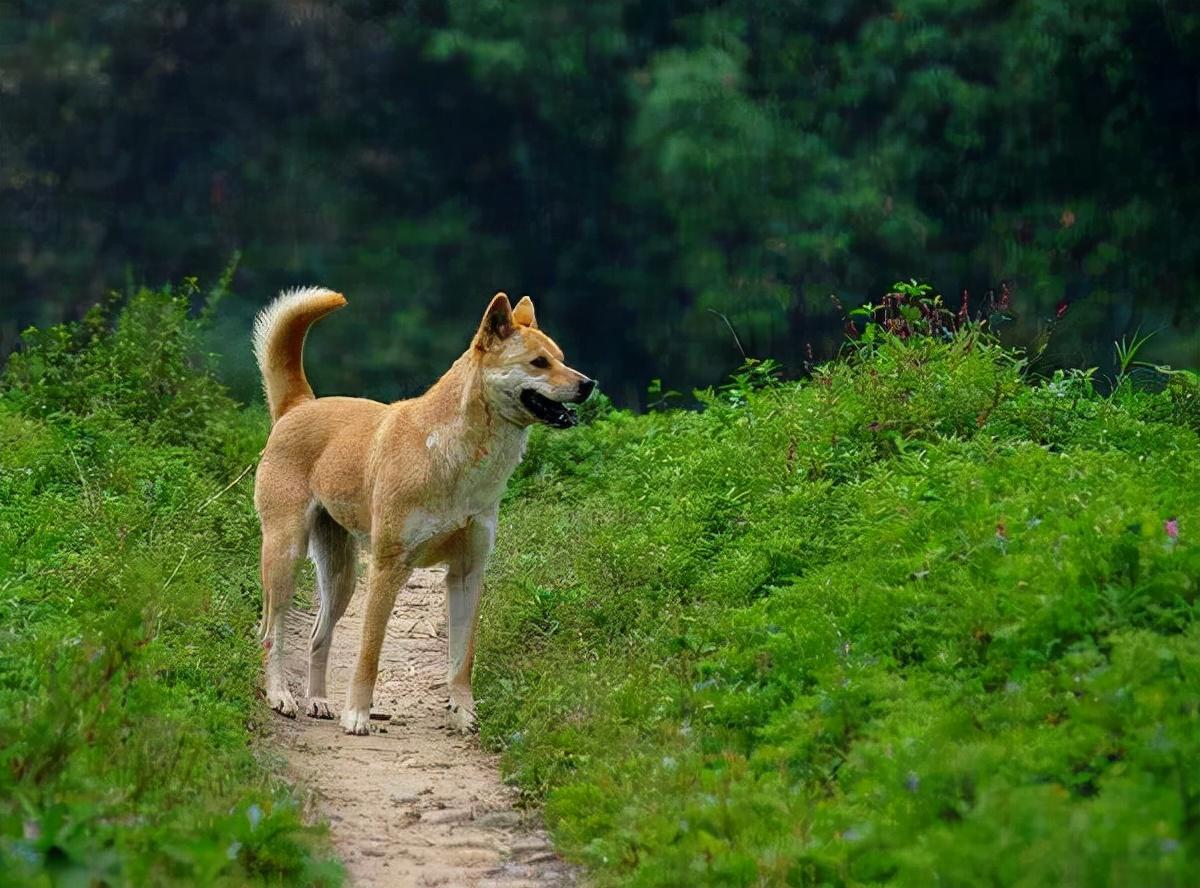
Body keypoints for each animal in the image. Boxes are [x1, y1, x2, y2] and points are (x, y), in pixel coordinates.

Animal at [254, 288, 595, 729]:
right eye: (539, 362)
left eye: (562, 357)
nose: (588, 384)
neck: (456, 457)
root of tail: (298, 405)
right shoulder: (388, 568)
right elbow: (369, 653)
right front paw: (357, 716)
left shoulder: (467, 573)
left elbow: (462, 659)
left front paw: (465, 715)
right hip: (285, 555)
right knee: (271, 633)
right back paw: (281, 695)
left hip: (341, 576)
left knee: (317, 637)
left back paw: (318, 700)